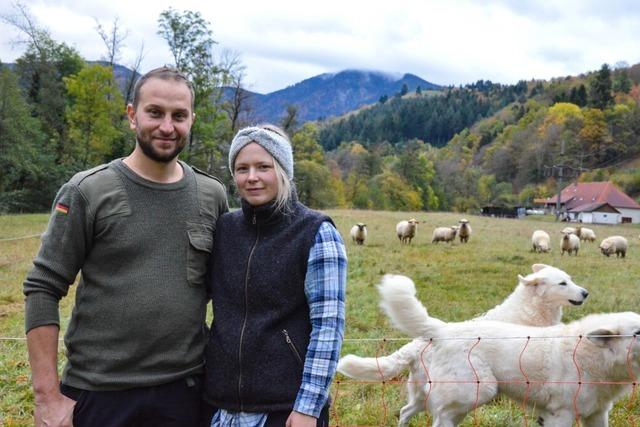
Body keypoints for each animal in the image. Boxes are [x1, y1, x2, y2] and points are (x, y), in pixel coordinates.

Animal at [338, 266, 588, 426]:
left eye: (571, 279)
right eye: (563, 283)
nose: (585, 293)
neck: (531, 308)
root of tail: (424, 339)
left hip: (423, 394)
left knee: (404, 411)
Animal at [380, 276, 640, 426]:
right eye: (638, 332)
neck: (594, 354)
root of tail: (444, 329)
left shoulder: (597, 414)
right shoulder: (562, 414)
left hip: (428, 394)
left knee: (405, 411)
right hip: (473, 393)